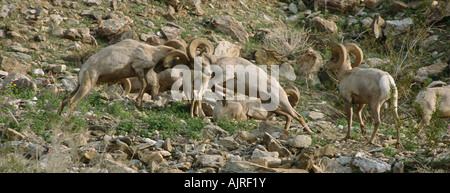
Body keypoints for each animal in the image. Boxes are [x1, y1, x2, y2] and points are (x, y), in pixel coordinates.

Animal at [58, 38, 188, 117]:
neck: (152, 53)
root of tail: (83, 69)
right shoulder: (138, 69)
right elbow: (144, 85)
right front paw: (138, 102)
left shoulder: (144, 73)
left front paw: (139, 105)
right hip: (87, 86)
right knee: (72, 101)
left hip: (79, 86)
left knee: (65, 99)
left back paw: (58, 116)